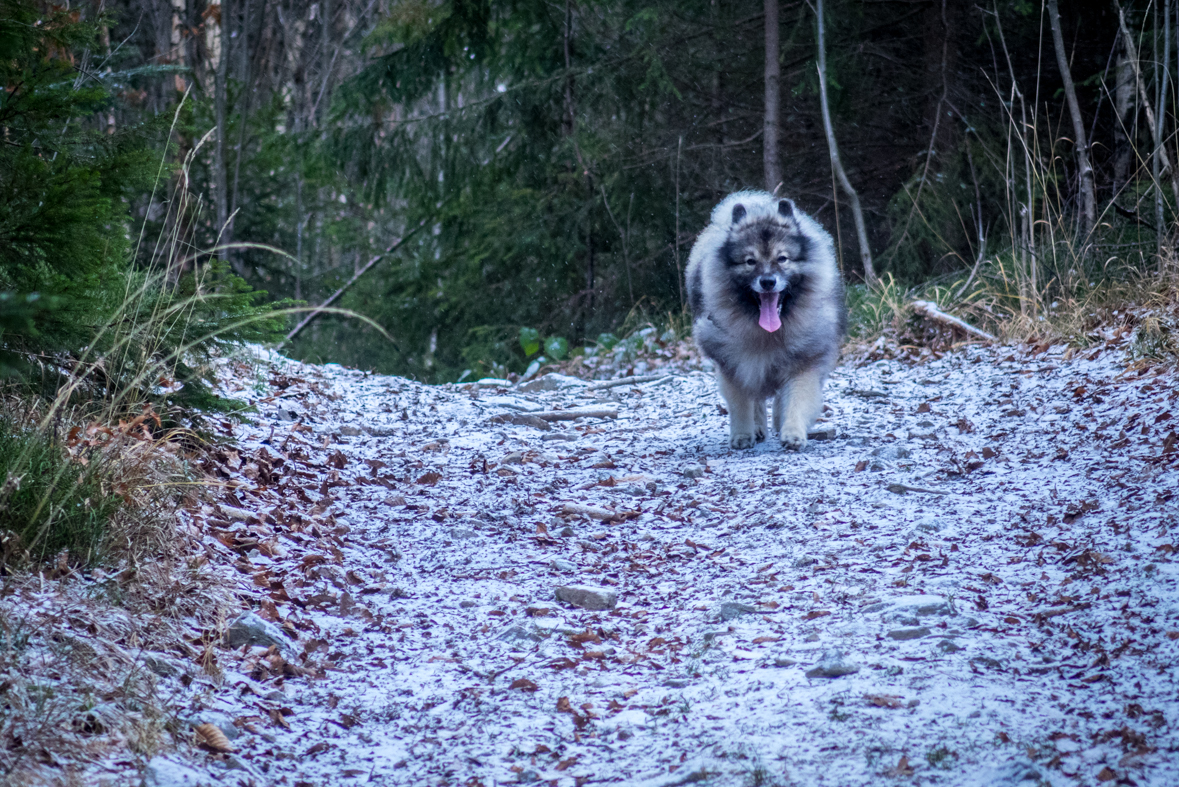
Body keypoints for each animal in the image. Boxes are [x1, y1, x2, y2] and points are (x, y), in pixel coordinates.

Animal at [683, 188, 848, 447]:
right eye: (750, 261)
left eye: (782, 259)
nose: (768, 281)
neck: (768, 333)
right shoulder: (734, 365)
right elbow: (742, 404)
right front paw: (742, 434)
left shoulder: (804, 362)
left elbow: (797, 398)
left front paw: (792, 432)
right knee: (757, 400)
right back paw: (758, 428)